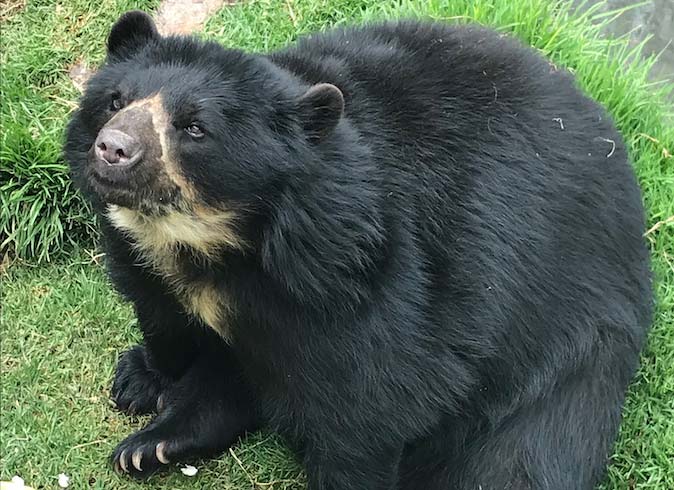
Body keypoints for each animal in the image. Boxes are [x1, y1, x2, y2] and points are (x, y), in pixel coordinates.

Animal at [65, 9, 648, 488]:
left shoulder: (373, 282)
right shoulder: (145, 262)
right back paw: (152, 446)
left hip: (567, 345)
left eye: (194, 127)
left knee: (519, 459)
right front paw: (141, 381)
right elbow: (162, 319)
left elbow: (369, 406)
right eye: (115, 101)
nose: (113, 149)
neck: (216, 243)